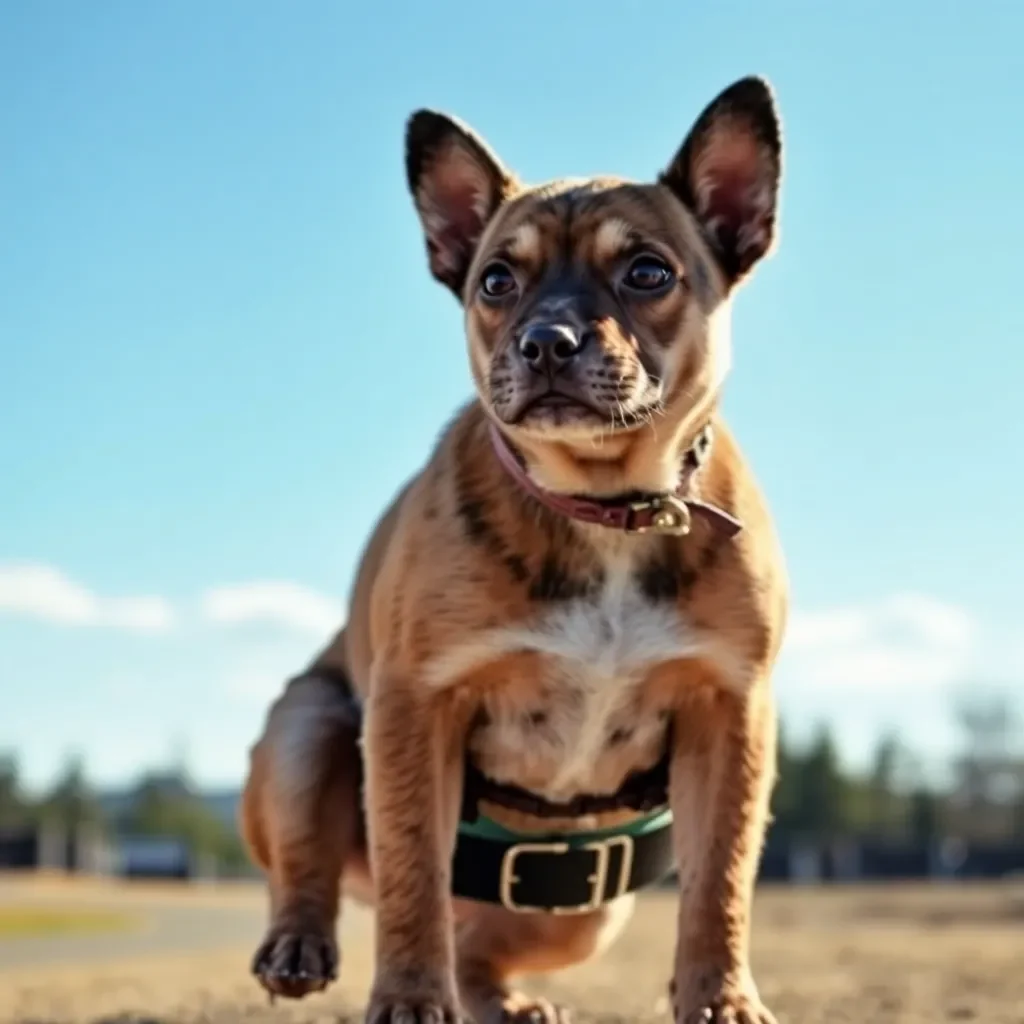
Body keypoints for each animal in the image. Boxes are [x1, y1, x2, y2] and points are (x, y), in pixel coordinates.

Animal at [243, 74, 786, 1024]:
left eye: (649, 272)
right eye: (496, 280)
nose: (547, 340)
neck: (605, 505)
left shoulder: (731, 714)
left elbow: (720, 882)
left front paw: (720, 999)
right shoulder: (416, 706)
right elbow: (413, 870)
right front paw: (409, 998)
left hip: (586, 913)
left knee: (481, 948)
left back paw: (505, 1001)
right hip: (307, 730)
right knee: (315, 875)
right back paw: (298, 945)